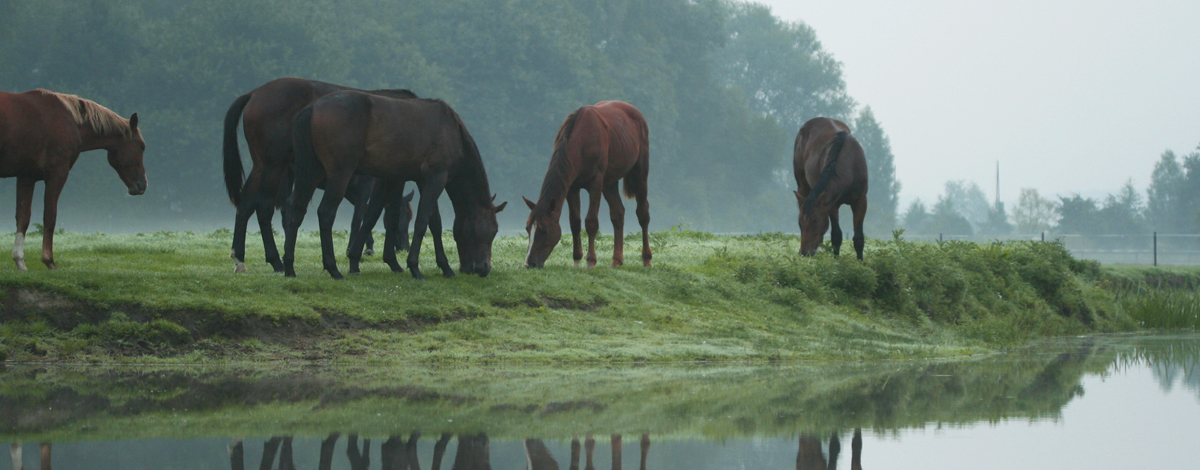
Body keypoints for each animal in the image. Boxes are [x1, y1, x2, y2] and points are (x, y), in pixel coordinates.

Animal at [0, 89, 147, 269]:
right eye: (142, 146)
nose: (142, 184)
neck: (71, 121)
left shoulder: (26, 177)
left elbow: (23, 217)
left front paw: (20, 261)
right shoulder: (57, 174)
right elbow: (49, 216)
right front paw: (49, 261)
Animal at [223, 77, 415, 273]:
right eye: (407, 218)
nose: (404, 248)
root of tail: (254, 93)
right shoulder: (370, 183)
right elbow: (372, 216)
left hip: (261, 166)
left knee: (246, 203)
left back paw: (240, 257)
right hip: (273, 165)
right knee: (264, 207)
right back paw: (276, 260)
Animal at [286, 92, 506, 280]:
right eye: (491, 230)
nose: (484, 268)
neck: (451, 131)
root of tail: (313, 107)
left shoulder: (418, 180)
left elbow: (431, 223)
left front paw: (444, 267)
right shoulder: (436, 178)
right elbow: (422, 222)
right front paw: (415, 267)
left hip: (312, 172)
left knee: (297, 211)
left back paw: (289, 268)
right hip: (339, 174)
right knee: (326, 213)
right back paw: (332, 268)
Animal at [523, 100, 652, 268]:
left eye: (544, 230)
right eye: (527, 229)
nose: (529, 263)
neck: (581, 142)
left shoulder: (595, 183)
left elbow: (591, 222)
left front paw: (590, 261)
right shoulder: (572, 187)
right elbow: (575, 222)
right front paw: (577, 260)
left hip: (639, 172)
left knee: (643, 213)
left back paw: (647, 259)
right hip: (609, 183)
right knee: (618, 213)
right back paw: (617, 260)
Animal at [792, 115, 868, 258]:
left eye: (815, 220)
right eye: (799, 223)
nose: (804, 252)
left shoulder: (861, 200)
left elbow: (859, 237)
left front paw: (861, 262)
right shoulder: (832, 204)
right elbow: (836, 236)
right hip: (802, 184)